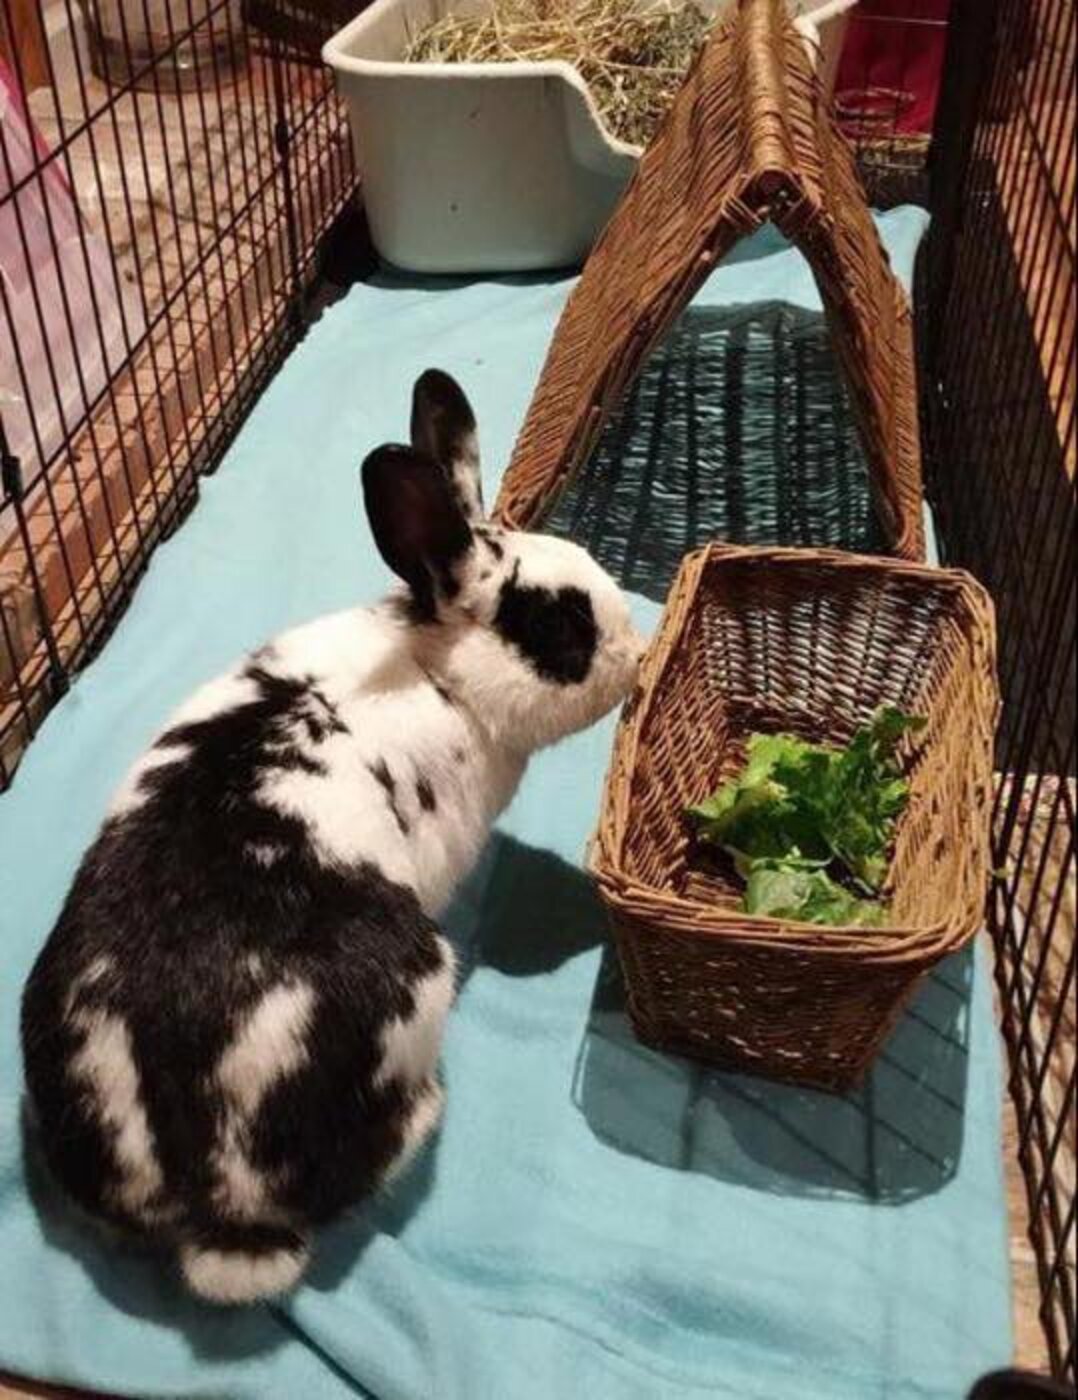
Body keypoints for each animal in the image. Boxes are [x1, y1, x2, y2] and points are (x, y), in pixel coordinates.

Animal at [21, 369, 647, 1306]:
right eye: (559, 625)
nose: (637, 656)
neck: (432, 666)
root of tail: (215, 1207)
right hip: (416, 988)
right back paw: (423, 1115)